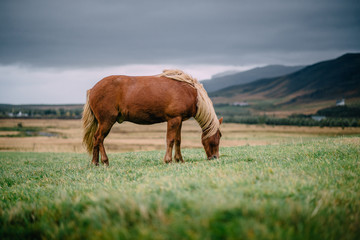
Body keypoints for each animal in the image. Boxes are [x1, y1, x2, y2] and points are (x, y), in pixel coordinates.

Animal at [82, 69, 222, 166]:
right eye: (219, 136)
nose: (215, 157)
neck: (189, 92)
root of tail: (92, 89)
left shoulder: (179, 120)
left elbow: (178, 140)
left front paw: (179, 159)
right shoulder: (173, 120)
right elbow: (170, 140)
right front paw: (168, 160)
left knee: (95, 139)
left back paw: (95, 163)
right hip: (106, 122)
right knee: (99, 138)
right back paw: (105, 161)